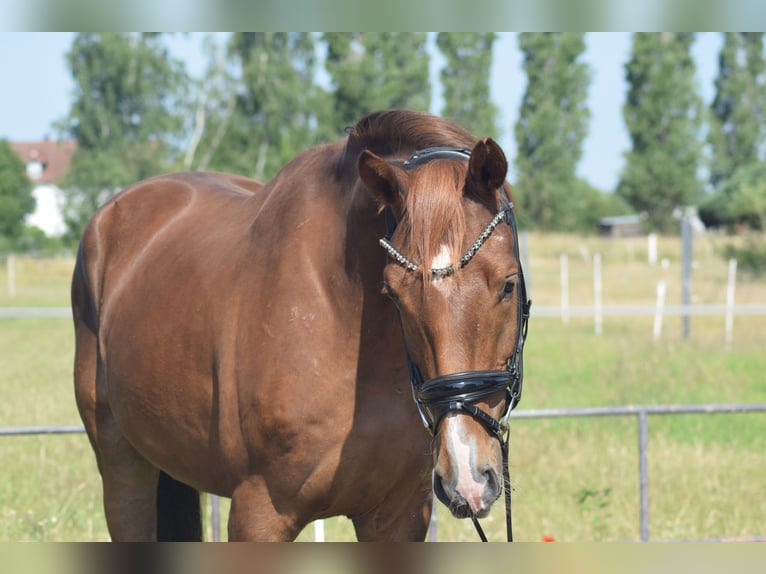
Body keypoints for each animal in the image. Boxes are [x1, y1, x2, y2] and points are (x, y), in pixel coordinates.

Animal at [71, 109, 530, 541]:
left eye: (508, 284)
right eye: (393, 293)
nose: (468, 477)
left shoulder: (398, 516)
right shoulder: (259, 515)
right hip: (122, 468)